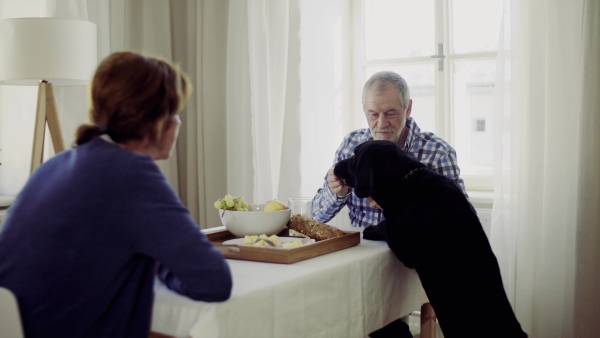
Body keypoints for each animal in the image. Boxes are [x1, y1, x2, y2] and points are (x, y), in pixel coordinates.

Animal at [336, 140, 528, 338]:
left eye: (354, 155)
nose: (335, 165)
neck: (403, 179)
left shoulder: (402, 249)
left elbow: (385, 227)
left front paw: (371, 229)